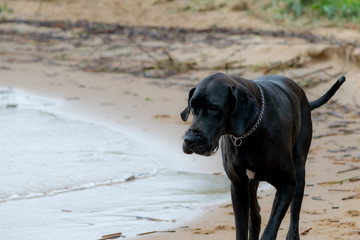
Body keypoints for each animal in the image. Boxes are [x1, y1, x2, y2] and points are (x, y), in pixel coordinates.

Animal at [181, 73, 344, 240]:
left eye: (213, 107)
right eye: (192, 107)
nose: (189, 140)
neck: (247, 133)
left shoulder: (287, 185)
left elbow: (270, 230)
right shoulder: (238, 185)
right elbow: (241, 229)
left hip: (299, 168)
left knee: (295, 213)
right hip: (251, 184)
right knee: (255, 213)